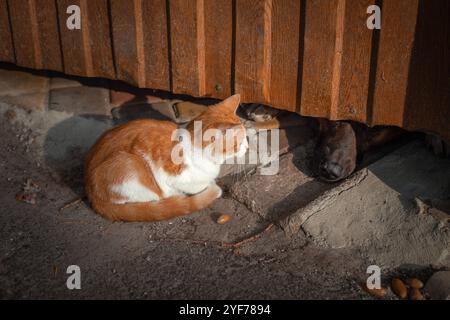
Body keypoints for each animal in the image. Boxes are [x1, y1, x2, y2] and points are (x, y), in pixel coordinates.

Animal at [84, 94, 246, 221]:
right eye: (240, 142)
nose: (247, 147)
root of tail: (90, 191)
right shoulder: (174, 177)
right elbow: (197, 185)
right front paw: (209, 185)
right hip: (131, 165)